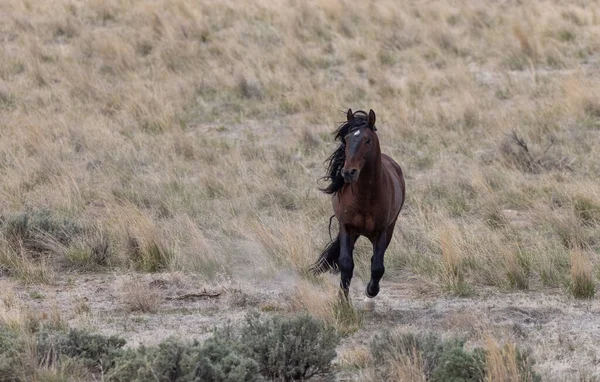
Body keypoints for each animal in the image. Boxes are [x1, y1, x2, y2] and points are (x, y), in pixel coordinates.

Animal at [312, 109, 406, 306]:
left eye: (367, 140)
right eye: (347, 139)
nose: (348, 172)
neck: (365, 196)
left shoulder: (382, 231)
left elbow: (377, 266)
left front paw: (370, 293)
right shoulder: (347, 227)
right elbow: (346, 263)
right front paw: (342, 299)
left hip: (387, 230)